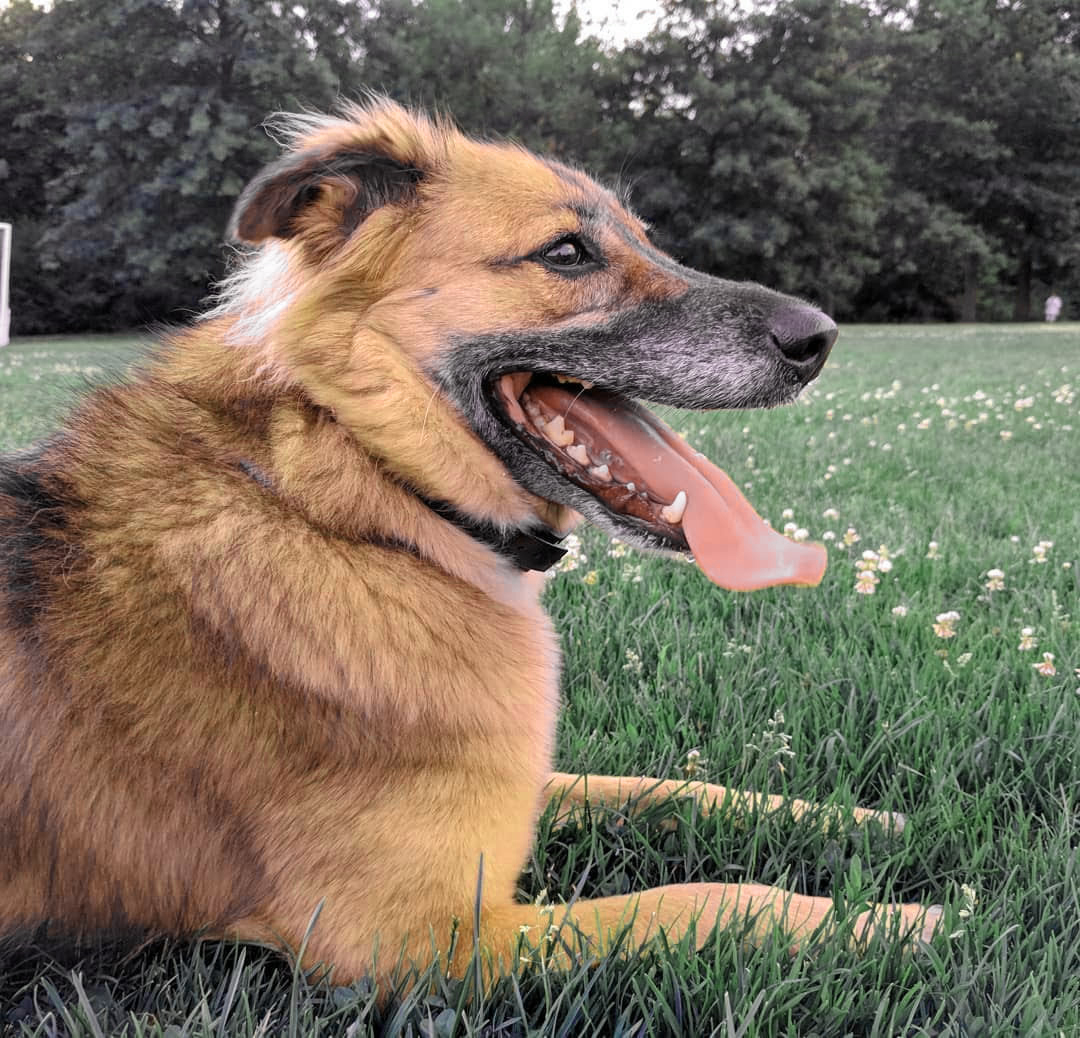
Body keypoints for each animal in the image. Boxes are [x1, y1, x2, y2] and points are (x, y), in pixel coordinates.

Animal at [0, 101, 937, 985]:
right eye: (567, 253)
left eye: (647, 240)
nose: (820, 337)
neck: (358, 496)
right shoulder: (421, 938)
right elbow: (706, 899)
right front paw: (904, 922)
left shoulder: (516, 794)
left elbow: (666, 785)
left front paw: (854, 819)